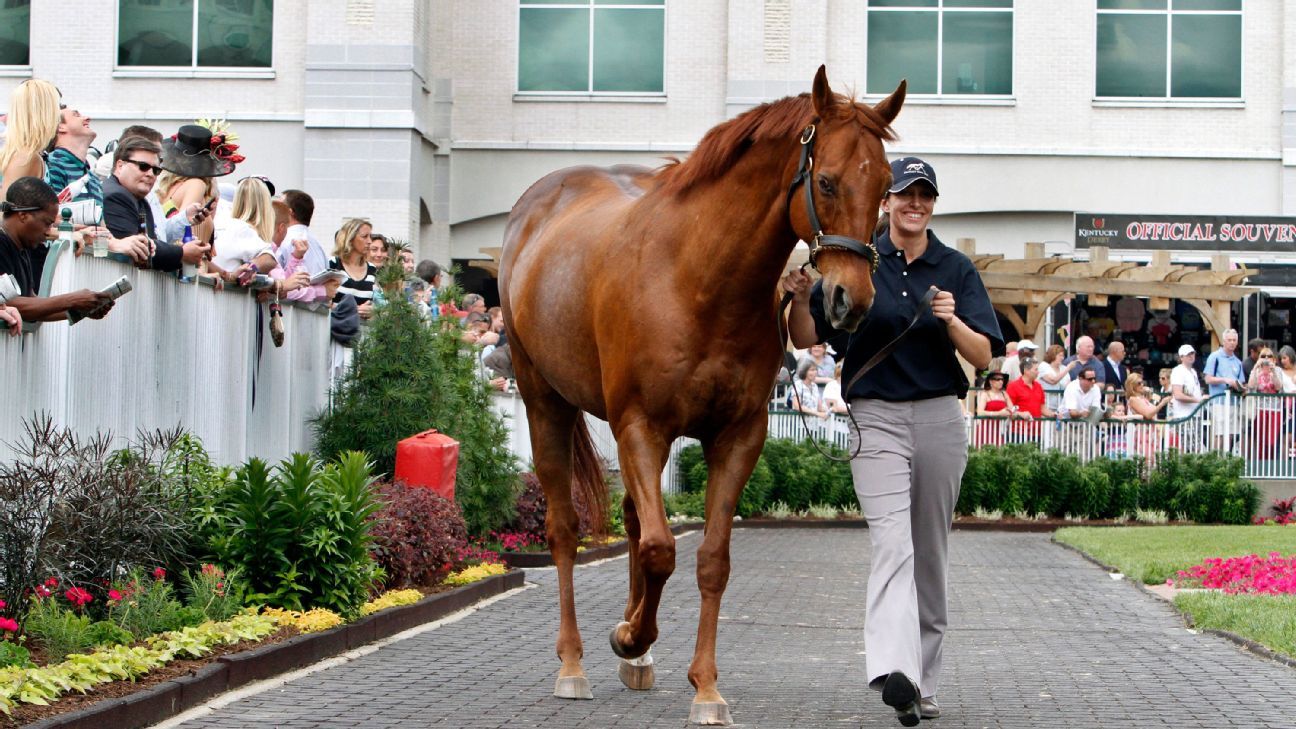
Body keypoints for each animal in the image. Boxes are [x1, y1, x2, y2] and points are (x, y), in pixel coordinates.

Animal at [500, 66, 907, 721]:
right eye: (826, 180)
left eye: (885, 187)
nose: (851, 300)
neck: (697, 279)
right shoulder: (640, 425)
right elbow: (661, 549)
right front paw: (630, 636)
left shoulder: (736, 435)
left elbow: (710, 559)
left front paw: (703, 686)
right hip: (544, 401)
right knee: (565, 527)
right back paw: (574, 662)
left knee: (631, 518)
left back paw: (636, 656)